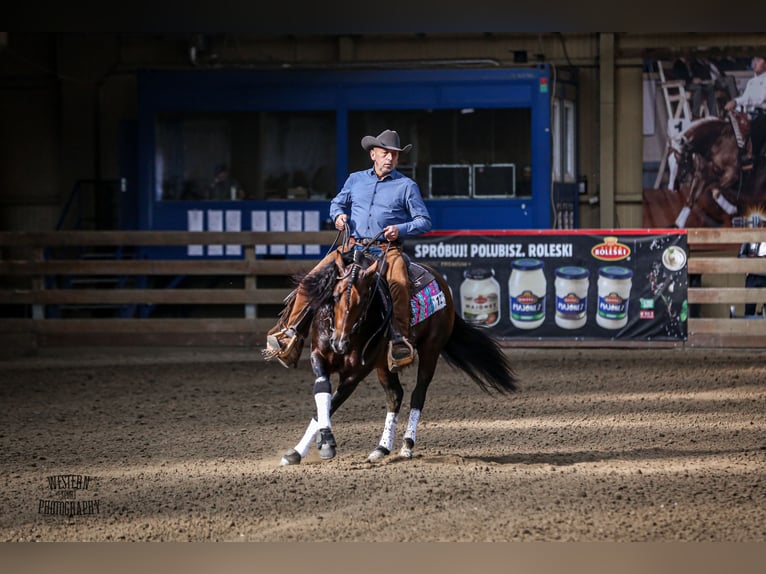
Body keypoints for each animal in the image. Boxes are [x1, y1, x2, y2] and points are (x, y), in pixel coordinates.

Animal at [276, 241, 518, 465]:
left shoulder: (356, 372)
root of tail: (441, 283)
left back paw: (407, 445)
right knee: (395, 395)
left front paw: (324, 444)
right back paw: (382, 448)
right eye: (335, 296)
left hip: (430, 350)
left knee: (418, 394)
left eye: (363, 301)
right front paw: (300, 450)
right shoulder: (319, 356)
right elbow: (323, 392)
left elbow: (331, 403)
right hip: (384, 364)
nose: (340, 343)